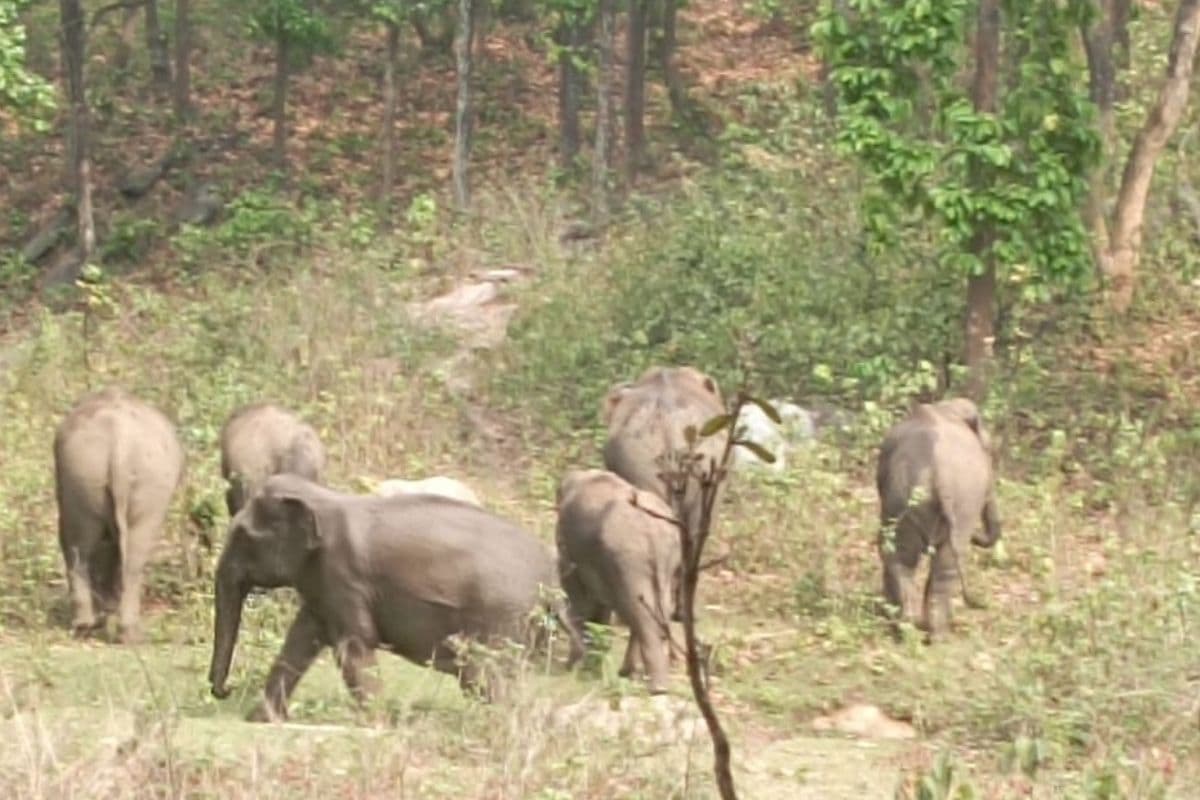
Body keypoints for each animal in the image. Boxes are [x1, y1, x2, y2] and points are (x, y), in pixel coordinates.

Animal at [53, 386, 185, 642]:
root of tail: (120, 443)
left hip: (86, 473)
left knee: (81, 545)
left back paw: (91, 627)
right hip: (120, 477)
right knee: (127, 552)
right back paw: (126, 634)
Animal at [208, 473, 571, 721]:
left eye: (243, 536)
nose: (225, 690)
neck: (324, 498)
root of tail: (551, 582)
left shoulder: (343, 575)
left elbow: (354, 645)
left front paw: (376, 723)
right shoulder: (322, 583)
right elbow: (300, 640)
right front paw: (261, 720)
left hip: (501, 616)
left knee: (482, 674)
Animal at [556, 469, 682, 694]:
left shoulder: (569, 548)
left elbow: (577, 591)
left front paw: (574, 667)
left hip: (629, 559)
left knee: (638, 612)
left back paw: (656, 686)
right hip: (665, 561)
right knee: (654, 609)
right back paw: (632, 673)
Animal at [875, 397, 1002, 638]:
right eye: (990, 453)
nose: (976, 537)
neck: (946, 408)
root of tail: (939, 474)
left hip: (910, 499)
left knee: (904, 558)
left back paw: (911, 631)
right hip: (954, 501)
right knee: (937, 564)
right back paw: (931, 634)